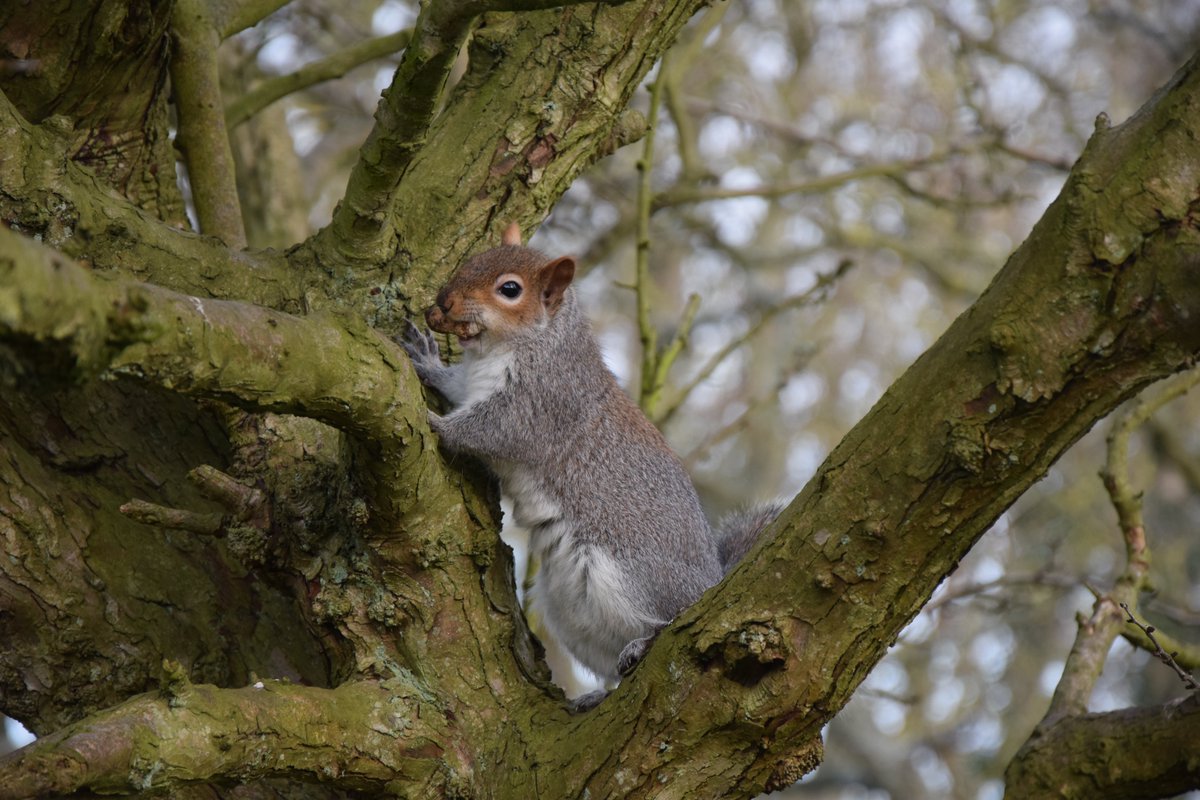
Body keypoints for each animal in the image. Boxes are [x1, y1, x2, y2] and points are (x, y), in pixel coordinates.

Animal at [401, 224, 782, 707]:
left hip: (633, 576)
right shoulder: (472, 383)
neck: (511, 348)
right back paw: (598, 694)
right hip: (571, 613)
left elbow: (489, 430)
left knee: (668, 620)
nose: (444, 302)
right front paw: (426, 361)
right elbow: (453, 385)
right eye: (473, 259)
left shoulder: (542, 403)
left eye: (510, 289)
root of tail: (711, 585)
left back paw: (644, 642)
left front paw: (433, 423)